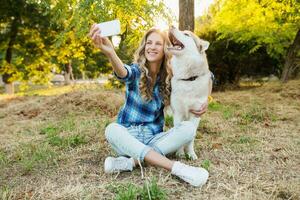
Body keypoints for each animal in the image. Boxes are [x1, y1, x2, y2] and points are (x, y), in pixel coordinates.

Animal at [169, 26, 211, 159]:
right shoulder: (178, 113)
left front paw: (191, 153)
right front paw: (180, 153)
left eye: (186, 34)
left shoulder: (196, 114)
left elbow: (191, 137)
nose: (171, 26)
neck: (188, 79)